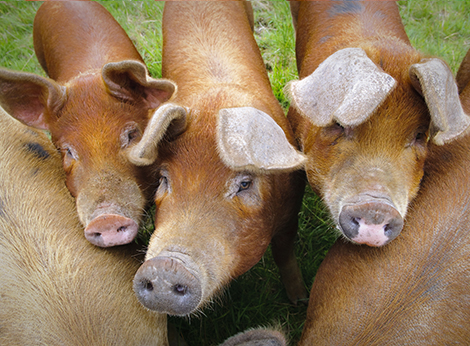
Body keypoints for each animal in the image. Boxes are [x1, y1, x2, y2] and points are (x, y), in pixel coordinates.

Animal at [129, 1, 306, 316]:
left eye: (245, 183)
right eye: (164, 179)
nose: (167, 267)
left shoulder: (291, 209)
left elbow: (284, 252)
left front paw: (300, 300)